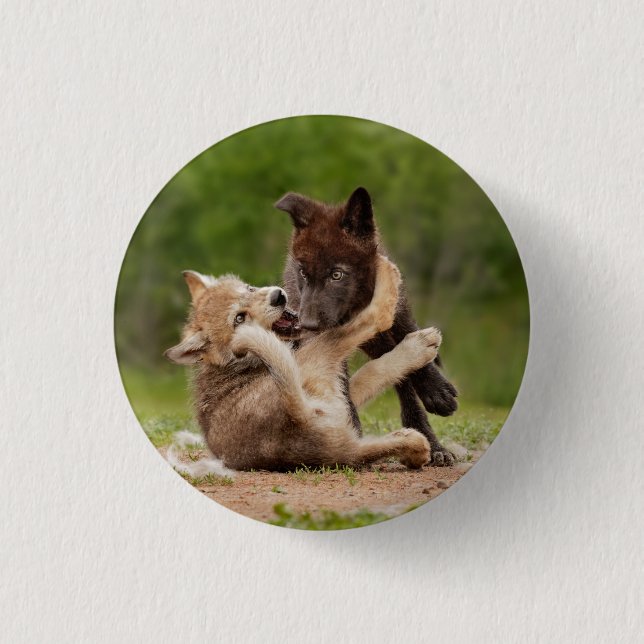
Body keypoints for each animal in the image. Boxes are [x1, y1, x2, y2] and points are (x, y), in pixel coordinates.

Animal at [164, 256, 443, 471]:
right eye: (239, 318)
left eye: (250, 289)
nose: (278, 296)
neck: (239, 364)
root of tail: (295, 417)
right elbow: (375, 364)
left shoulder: (341, 394)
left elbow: (368, 376)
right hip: (319, 355)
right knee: (374, 319)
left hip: (344, 436)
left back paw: (415, 446)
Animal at [276, 187, 458, 466]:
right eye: (304, 274)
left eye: (337, 275)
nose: (306, 324)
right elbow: (341, 388)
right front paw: (350, 434)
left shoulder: (398, 315)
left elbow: (413, 346)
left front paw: (436, 391)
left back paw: (431, 441)